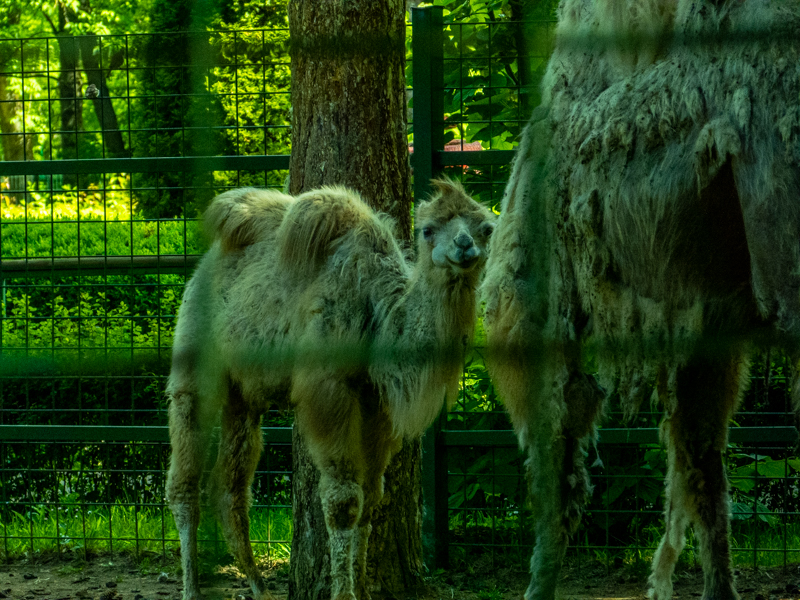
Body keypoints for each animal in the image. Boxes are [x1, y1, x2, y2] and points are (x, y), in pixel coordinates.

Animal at [166, 179, 495, 600]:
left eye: (486, 228)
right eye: (428, 229)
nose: (464, 246)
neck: (376, 309)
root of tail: (203, 266)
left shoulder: (376, 404)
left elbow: (371, 500)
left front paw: (364, 589)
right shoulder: (328, 389)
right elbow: (343, 502)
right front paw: (344, 593)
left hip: (244, 395)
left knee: (230, 487)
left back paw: (258, 586)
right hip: (195, 362)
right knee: (184, 479)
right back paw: (192, 588)